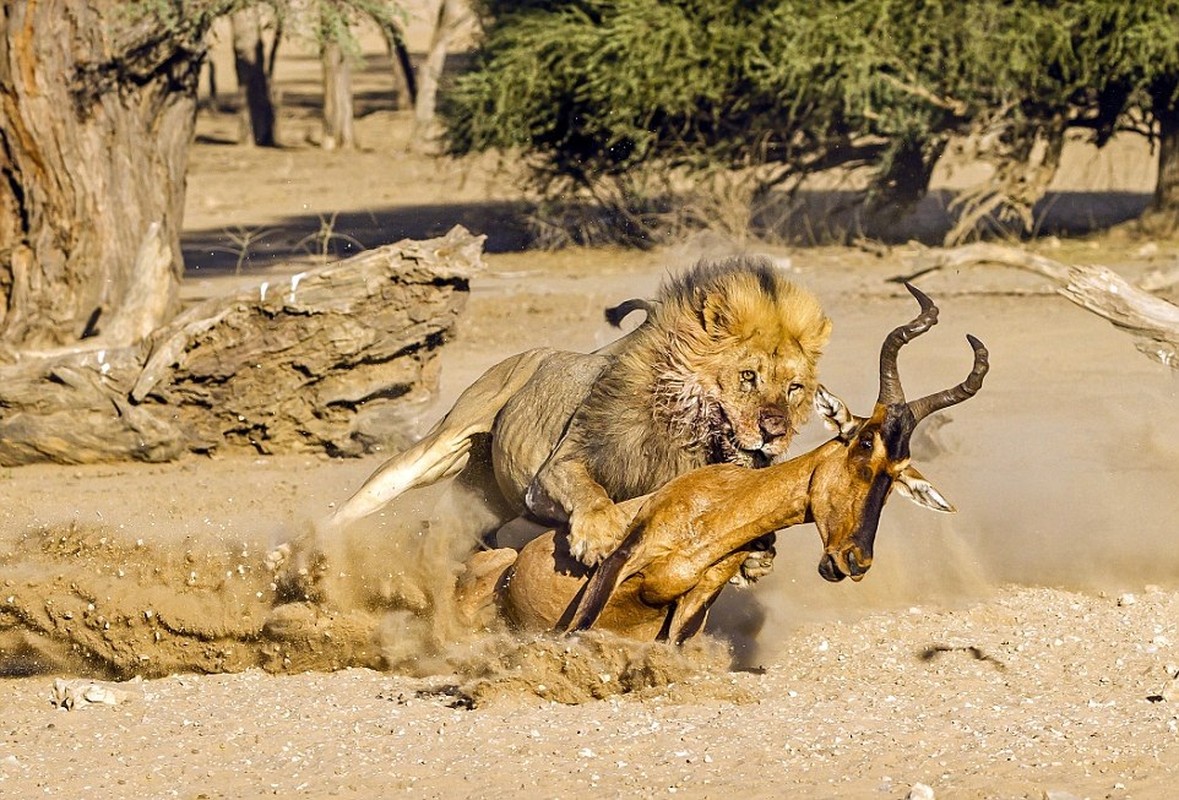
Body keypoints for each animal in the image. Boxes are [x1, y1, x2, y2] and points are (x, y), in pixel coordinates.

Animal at [327, 259, 834, 579]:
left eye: (794, 388)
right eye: (748, 376)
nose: (775, 430)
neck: (682, 436)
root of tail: (534, 353)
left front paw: (758, 559)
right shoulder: (553, 473)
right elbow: (590, 492)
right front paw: (598, 536)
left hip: (485, 497)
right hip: (438, 447)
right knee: (363, 501)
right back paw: (315, 546)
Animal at [455, 285, 990, 645]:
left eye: (897, 474)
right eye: (862, 443)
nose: (853, 560)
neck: (715, 509)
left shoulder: (694, 606)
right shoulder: (619, 560)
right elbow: (575, 632)